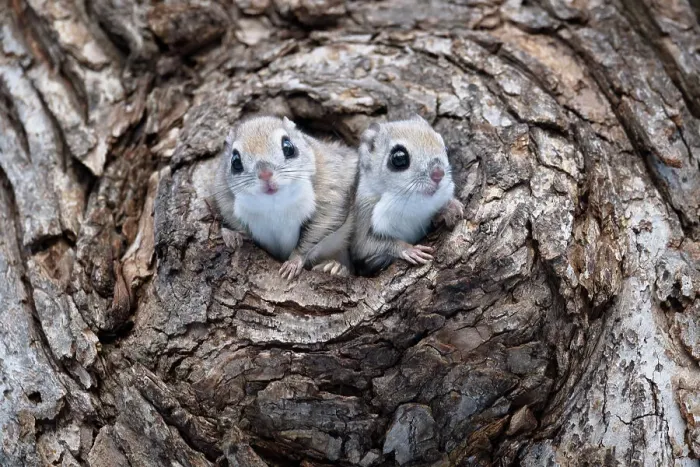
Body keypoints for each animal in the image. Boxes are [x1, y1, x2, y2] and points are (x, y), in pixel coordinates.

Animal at [212, 116, 358, 279]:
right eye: (235, 161)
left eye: (288, 147)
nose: (265, 174)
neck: (274, 204)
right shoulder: (225, 201)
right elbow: (238, 226)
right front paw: (232, 235)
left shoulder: (332, 192)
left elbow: (318, 229)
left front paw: (294, 261)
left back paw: (335, 267)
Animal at [350, 116, 464, 275]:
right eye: (399, 158)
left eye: (446, 149)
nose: (438, 173)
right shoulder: (364, 218)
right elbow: (369, 245)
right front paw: (409, 249)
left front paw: (450, 208)